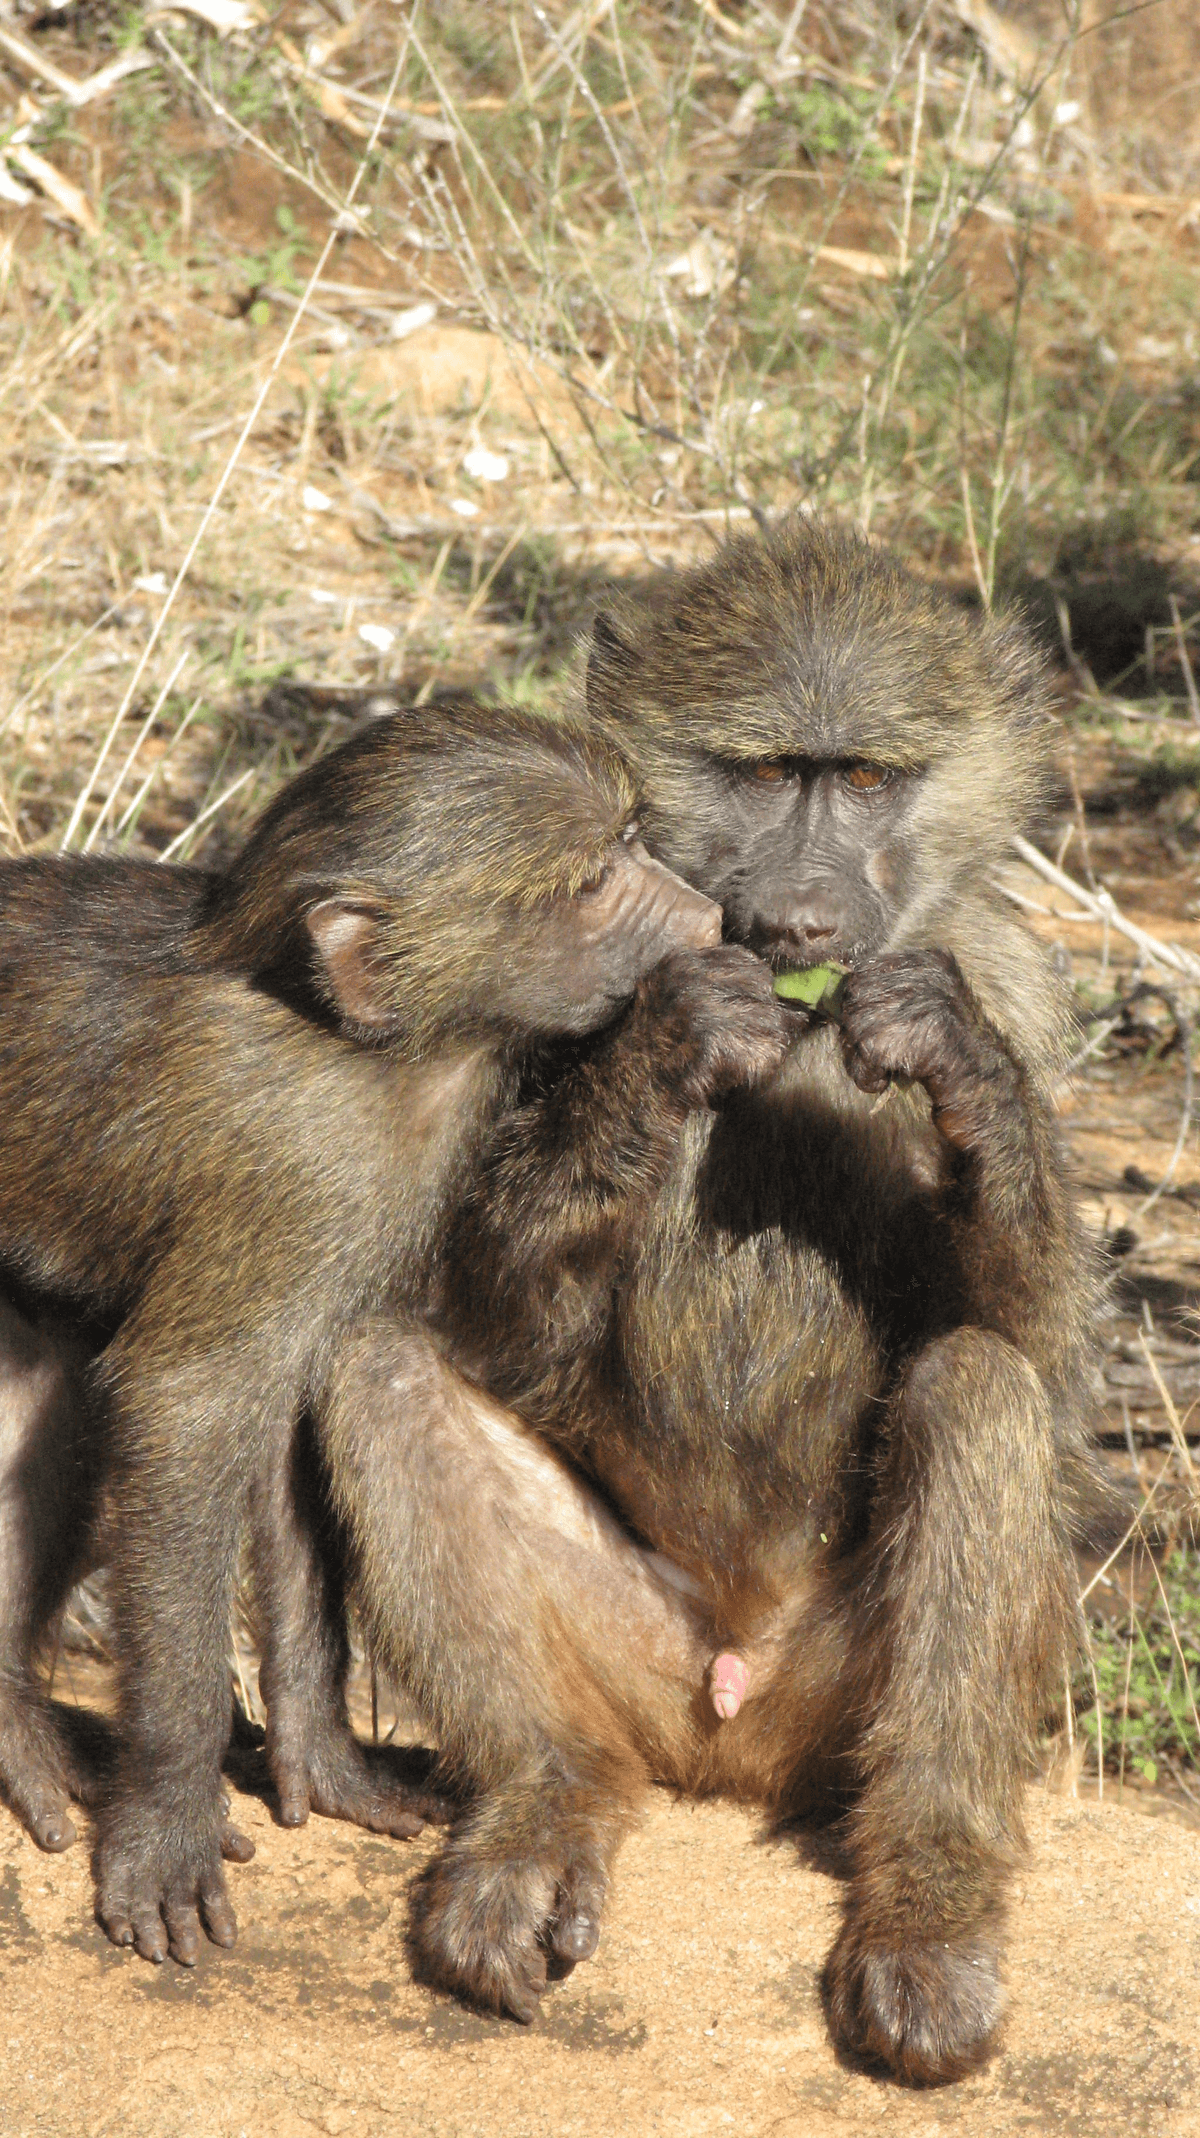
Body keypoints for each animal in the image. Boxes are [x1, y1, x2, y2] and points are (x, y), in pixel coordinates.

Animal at [0, 696, 788, 1966]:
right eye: (591, 881)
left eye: (632, 836)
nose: (708, 912)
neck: (378, 1046)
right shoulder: (303, 1167)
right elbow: (186, 1405)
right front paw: (166, 1814)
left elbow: (287, 1421)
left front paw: (321, 1756)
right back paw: (16, 1730)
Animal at [305, 518, 1105, 2085]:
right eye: (762, 772)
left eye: (865, 778)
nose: (799, 917)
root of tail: (728, 1726)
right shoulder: (527, 1013)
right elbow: (498, 1324)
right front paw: (675, 1046)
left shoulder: (1016, 973)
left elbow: (1036, 1344)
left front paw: (953, 1060)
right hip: (630, 1660)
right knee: (379, 1372)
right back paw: (532, 1822)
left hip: (836, 1708)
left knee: (977, 1389)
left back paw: (928, 1910)